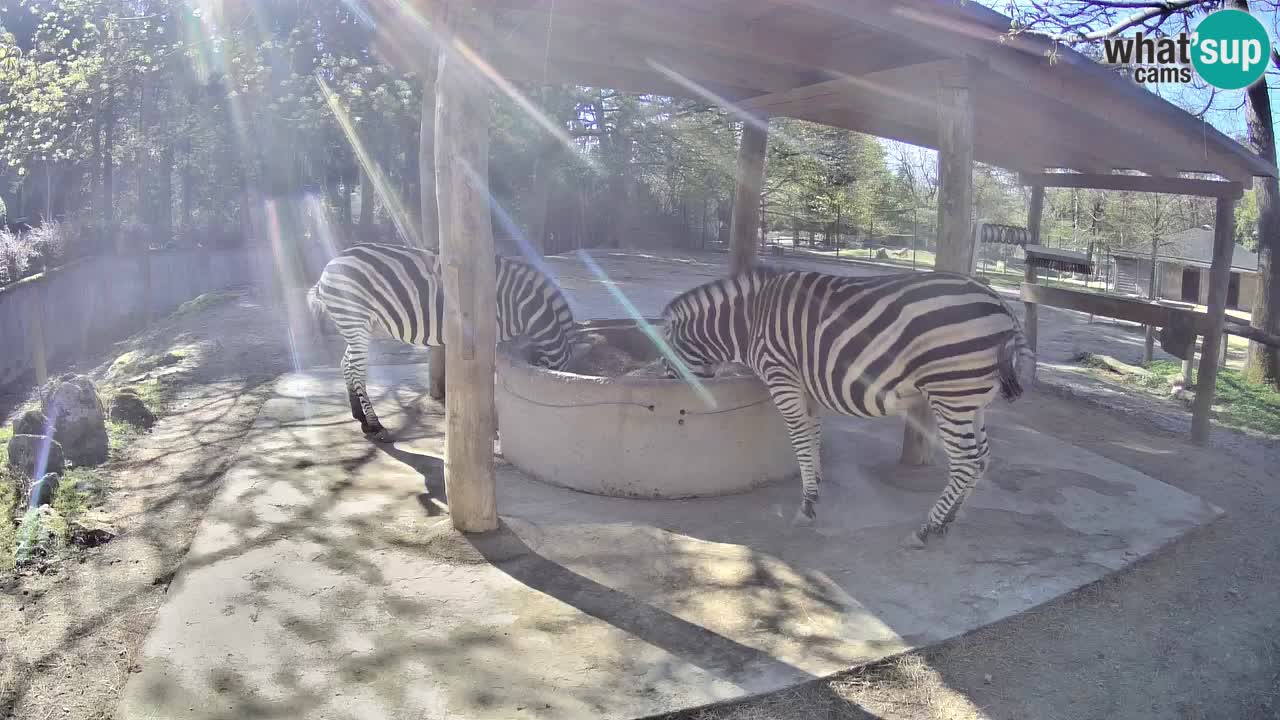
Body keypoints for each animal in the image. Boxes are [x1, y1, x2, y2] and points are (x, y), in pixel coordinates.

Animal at [307, 243, 576, 441]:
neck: (524, 307)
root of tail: (328, 268)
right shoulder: (489, 334)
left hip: (360, 326)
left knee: (347, 364)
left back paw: (360, 417)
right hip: (354, 318)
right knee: (354, 368)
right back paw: (375, 425)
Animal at [659, 267, 1034, 547]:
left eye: (664, 361)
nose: (673, 399)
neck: (749, 322)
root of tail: (1002, 304)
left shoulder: (782, 378)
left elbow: (799, 440)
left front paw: (807, 505)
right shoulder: (806, 387)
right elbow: (812, 436)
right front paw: (816, 487)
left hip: (951, 394)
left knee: (966, 461)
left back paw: (926, 529)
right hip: (973, 400)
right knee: (982, 458)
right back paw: (948, 521)